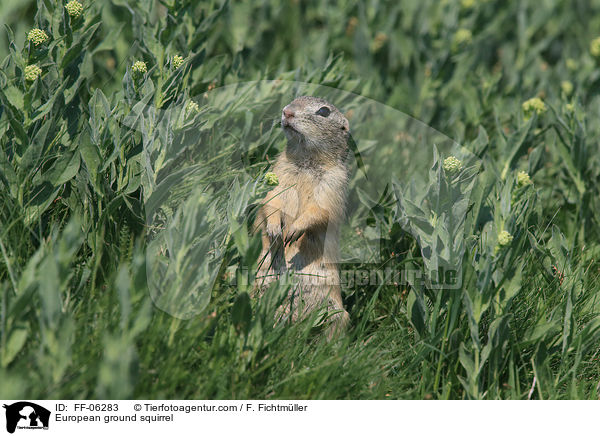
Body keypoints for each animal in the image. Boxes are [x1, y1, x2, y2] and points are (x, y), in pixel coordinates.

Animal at [254, 96, 350, 334]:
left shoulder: (334, 184)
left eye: (324, 111)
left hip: (337, 313)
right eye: (294, 100)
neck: (307, 161)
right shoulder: (280, 173)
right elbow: (272, 200)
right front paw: (275, 229)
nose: (286, 112)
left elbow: (319, 210)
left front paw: (293, 231)